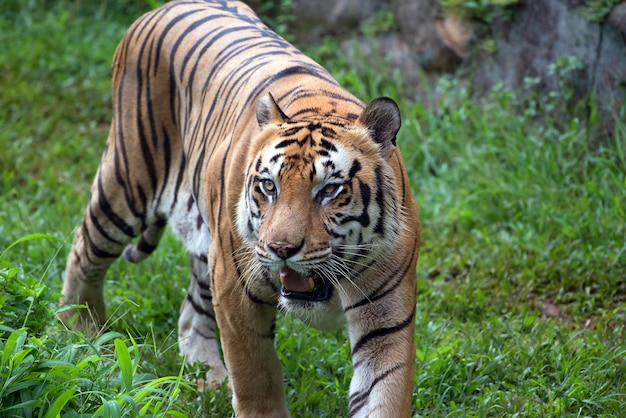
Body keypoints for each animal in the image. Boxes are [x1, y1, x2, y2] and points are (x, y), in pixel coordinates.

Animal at [58, 1, 420, 416]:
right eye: (269, 186)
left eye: (330, 190)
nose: (281, 249)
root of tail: (164, 7)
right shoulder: (235, 292)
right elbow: (256, 381)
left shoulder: (387, 322)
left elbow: (382, 395)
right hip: (128, 182)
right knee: (83, 252)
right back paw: (83, 340)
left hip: (204, 244)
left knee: (189, 313)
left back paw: (209, 381)